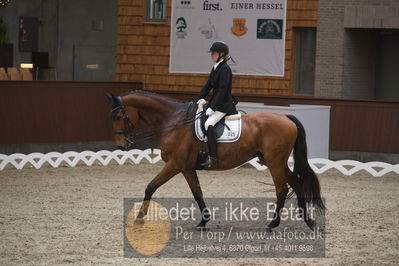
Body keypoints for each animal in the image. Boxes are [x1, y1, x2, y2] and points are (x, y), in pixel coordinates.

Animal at [107, 90, 324, 230]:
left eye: (119, 116)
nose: (121, 145)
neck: (173, 122)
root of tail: (286, 117)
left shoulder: (174, 164)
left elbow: (151, 186)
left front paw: (139, 220)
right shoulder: (186, 167)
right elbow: (197, 193)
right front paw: (203, 221)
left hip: (275, 162)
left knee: (282, 188)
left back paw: (273, 223)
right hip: (273, 161)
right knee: (295, 183)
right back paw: (308, 220)